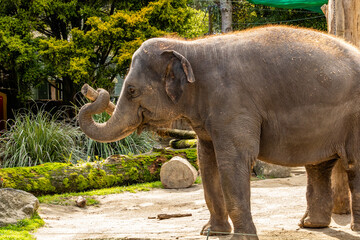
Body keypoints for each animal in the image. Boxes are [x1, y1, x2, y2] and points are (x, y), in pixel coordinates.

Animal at [79, 25, 360, 239]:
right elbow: (206, 162)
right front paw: (211, 232)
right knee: (319, 166)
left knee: (353, 165)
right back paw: (311, 225)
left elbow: (233, 162)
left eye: (132, 91)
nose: (93, 90)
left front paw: (241, 238)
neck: (189, 47)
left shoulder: (233, 105)